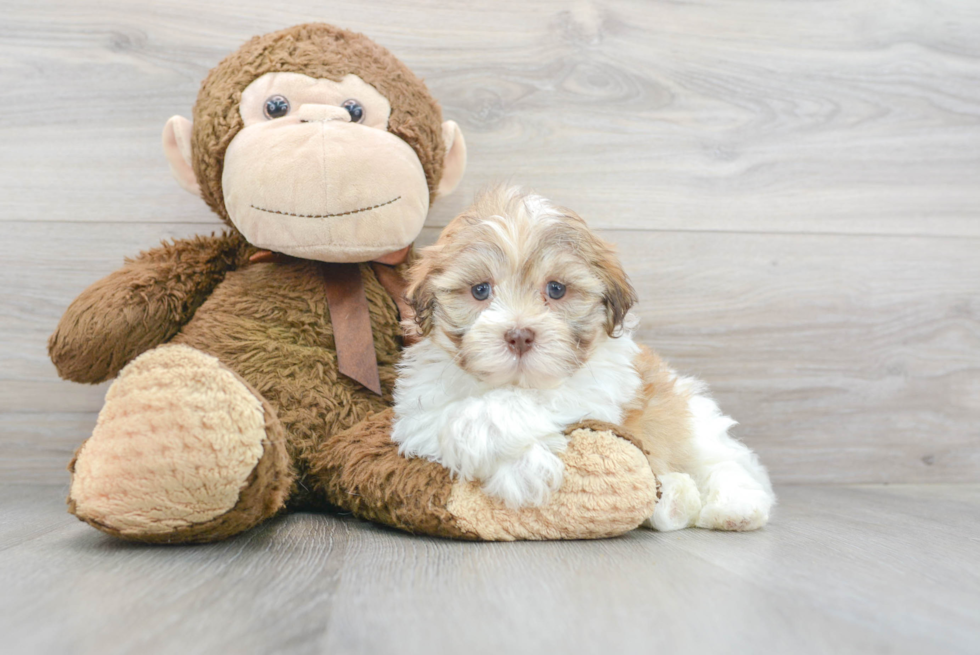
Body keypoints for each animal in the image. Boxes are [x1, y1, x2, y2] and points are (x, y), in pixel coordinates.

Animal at [390, 187, 772, 532]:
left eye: (556, 289)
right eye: (480, 290)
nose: (519, 336)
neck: (514, 381)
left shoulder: (598, 392)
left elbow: (528, 402)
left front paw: (519, 465)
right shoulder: (419, 411)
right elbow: (451, 419)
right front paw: (520, 465)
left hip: (693, 423)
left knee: (725, 462)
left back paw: (736, 507)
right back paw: (675, 500)